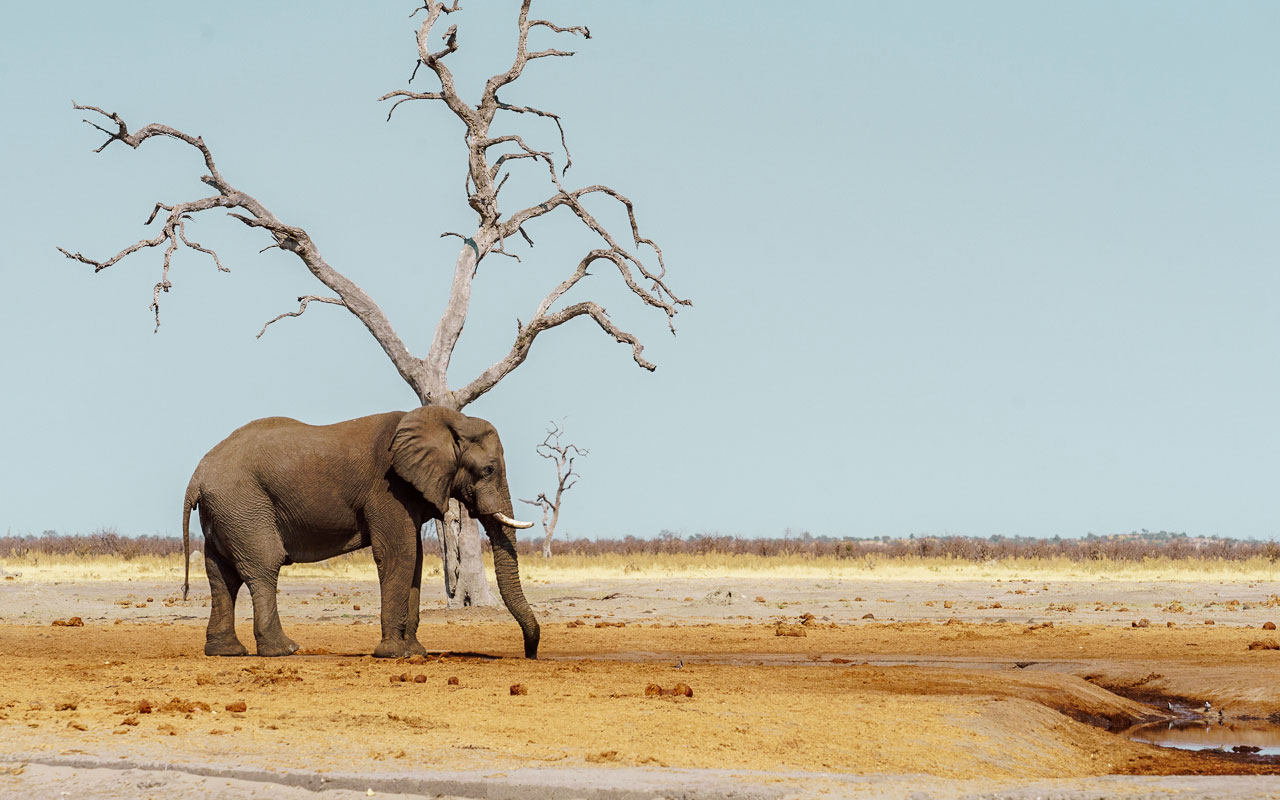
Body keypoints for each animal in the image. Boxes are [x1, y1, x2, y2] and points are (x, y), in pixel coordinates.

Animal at [180, 406, 540, 659]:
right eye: (488, 469)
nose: (530, 653)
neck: (446, 419)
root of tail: (196, 476)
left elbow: (415, 560)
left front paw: (416, 653)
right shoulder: (388, 488)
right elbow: (399, 553)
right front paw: (394, 654)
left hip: (226, 512)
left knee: (221, 575)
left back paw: (226, 652)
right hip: (244, 505)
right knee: (264, 566)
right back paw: (285, 650)